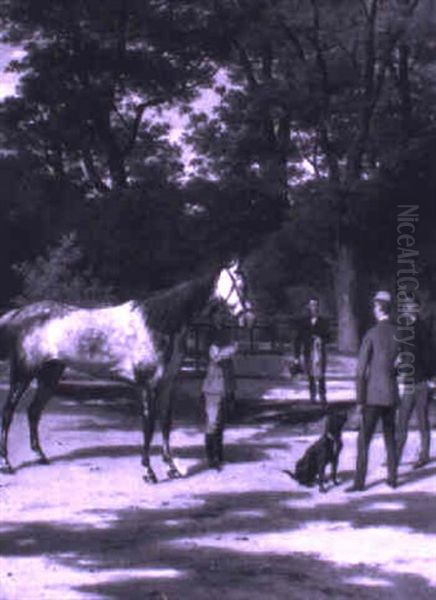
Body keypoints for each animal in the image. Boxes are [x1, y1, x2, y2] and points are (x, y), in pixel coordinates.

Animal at [0, 260, 255, 480]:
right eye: (239, 285)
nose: (249, 317)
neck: (159, 323)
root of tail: (19, 314)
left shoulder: (167, 385)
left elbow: (165, 424)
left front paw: (171, 468)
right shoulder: (147, 385)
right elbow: (148, 425)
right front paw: (149, 471)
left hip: (50, 375)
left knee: (33, 412)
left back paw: (41, 457)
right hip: (23, 375)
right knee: (9, 412)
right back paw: (7, 464)